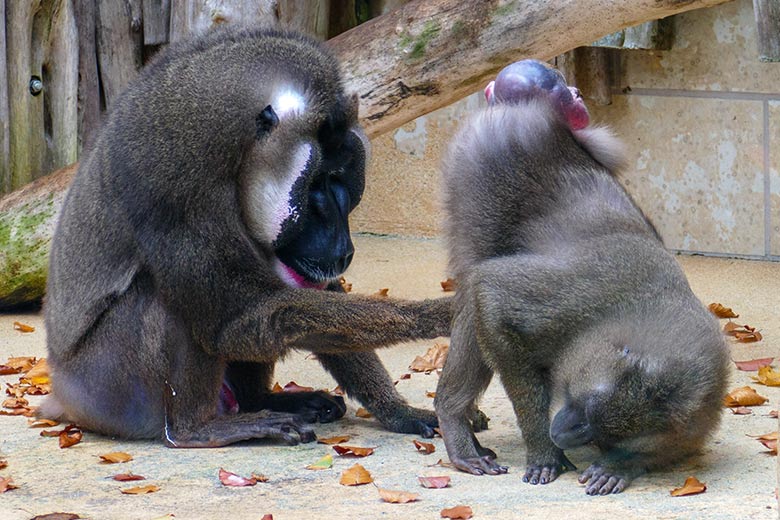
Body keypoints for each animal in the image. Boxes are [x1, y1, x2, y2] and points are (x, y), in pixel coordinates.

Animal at [44, 27, 450, 446]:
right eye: (317, 185)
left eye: (343, 183)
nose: (343, 252)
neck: (234, 137)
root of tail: (66, 396)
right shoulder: (171, 182)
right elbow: (233, 318)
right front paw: (436, 315)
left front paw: (397, 410)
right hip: (111, 389)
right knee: (170, 299)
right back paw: (199, 429)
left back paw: (265, 401)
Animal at [436, 61, 728, 496]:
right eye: (587, 407)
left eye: (608, 435)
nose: (563, 433)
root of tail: (531, 114)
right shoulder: (581, 296)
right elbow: (491, 293)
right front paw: (542, 448)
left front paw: (619, 466)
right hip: (480, 174)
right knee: (474, 282)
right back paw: (453, 416)